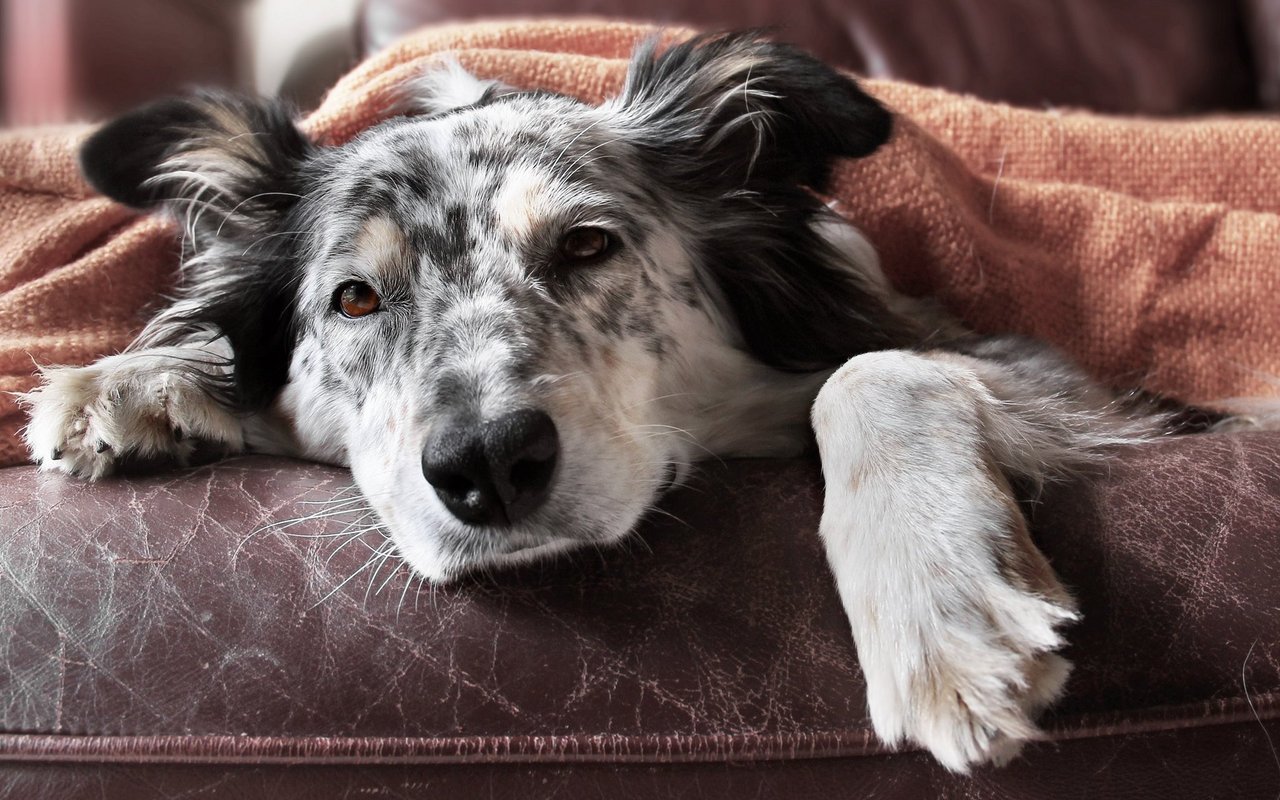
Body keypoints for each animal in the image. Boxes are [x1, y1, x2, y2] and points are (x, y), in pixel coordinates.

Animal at [20, 32, 1269, 773]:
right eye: (355, 298)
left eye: (585, 245)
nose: (486, 464)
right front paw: (133, 381)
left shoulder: (1055, 374)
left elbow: (872, 370)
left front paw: (940, 614)